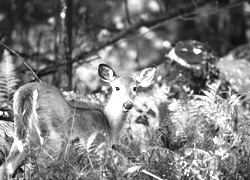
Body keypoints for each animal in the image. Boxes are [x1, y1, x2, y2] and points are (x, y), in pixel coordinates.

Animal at [0, 63, 156, 177]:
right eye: (117, 87)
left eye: (135, 88)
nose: (128, 104)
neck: (109, 125)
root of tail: (27, 91)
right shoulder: (95, 146)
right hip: (54, 134)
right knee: (40, 162)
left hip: (23, 134)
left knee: (7, 166)